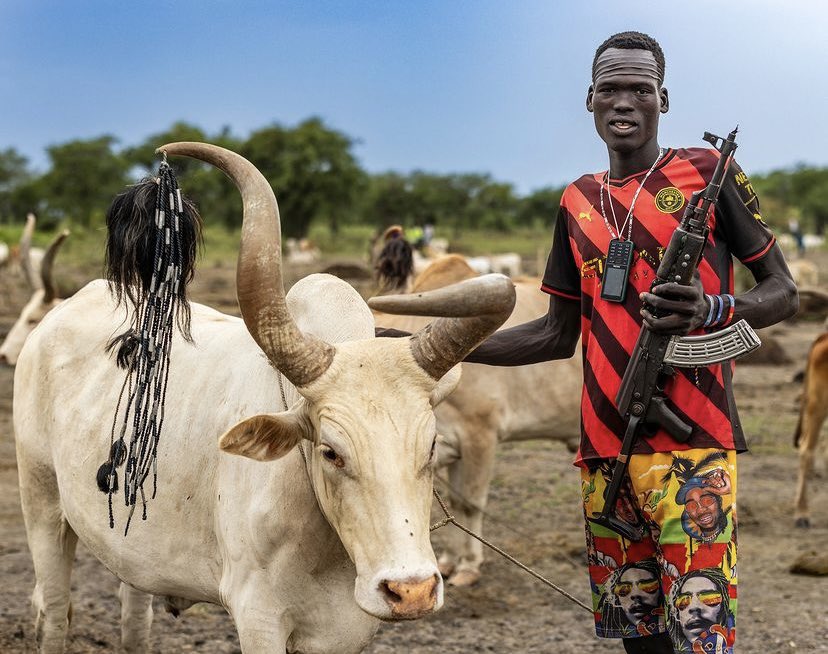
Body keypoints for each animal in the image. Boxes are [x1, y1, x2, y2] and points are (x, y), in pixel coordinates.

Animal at [14, 145, 516, 654]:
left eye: (430, 446)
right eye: (330, 451)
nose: (411, 590)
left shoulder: (348, 630)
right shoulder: (259, 615)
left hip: (134, 558)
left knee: (134, 620)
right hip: (42, 505)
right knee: (54, 611)